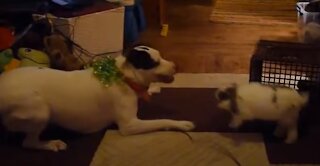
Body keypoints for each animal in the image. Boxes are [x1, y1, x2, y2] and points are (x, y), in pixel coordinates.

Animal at [0, 45, 195, 152]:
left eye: (161, 56)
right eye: (154, 62)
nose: (176, 66)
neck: (123, 75)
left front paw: (153, 89)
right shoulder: (130, 125)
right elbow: (161, 121)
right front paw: (181, 124)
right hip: (40, 111)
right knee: (29, 142)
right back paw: (50, 144)